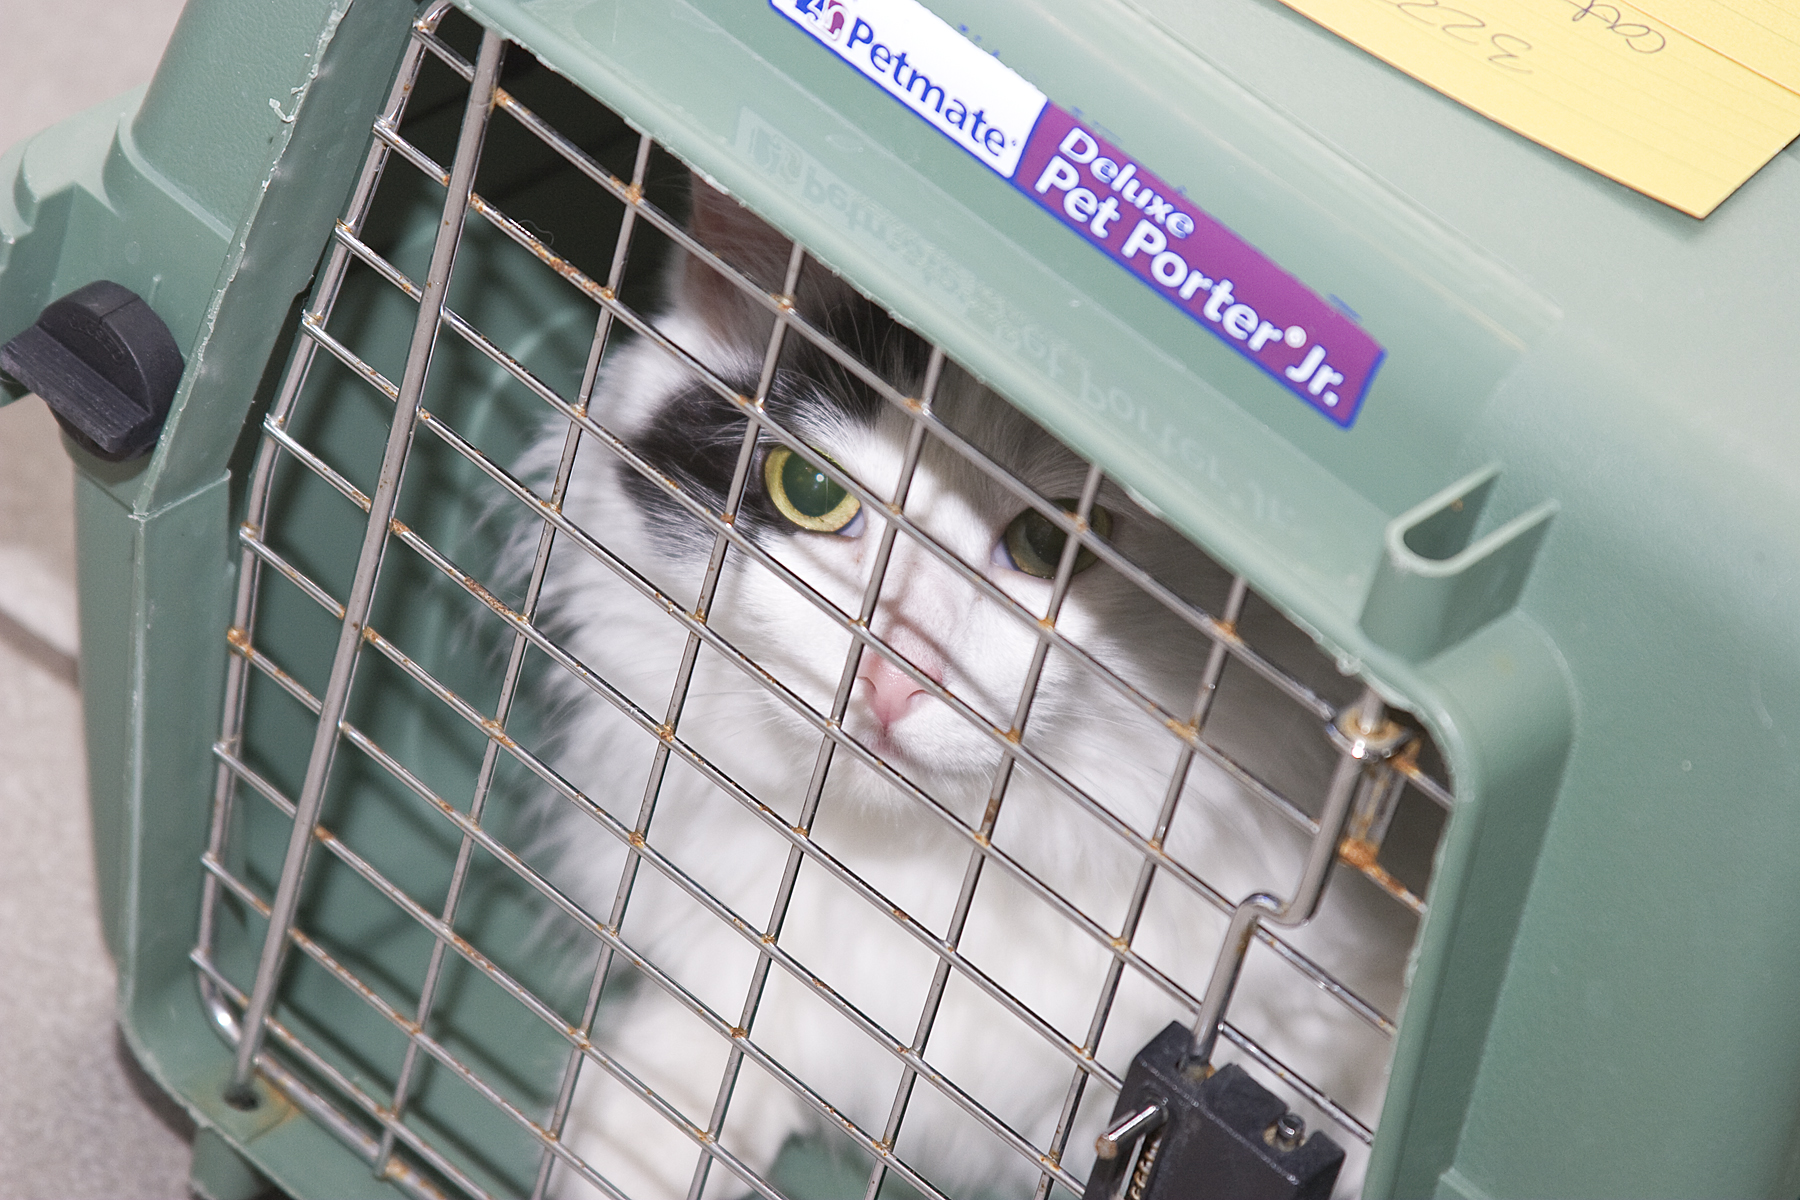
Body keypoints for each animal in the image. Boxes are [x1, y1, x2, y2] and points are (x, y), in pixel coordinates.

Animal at [514, 173, 1411, 1194]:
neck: (927, 883)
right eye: (810, 492)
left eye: (1051, 546)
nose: (890, 673)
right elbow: (720, 1025)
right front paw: (634, 1143)